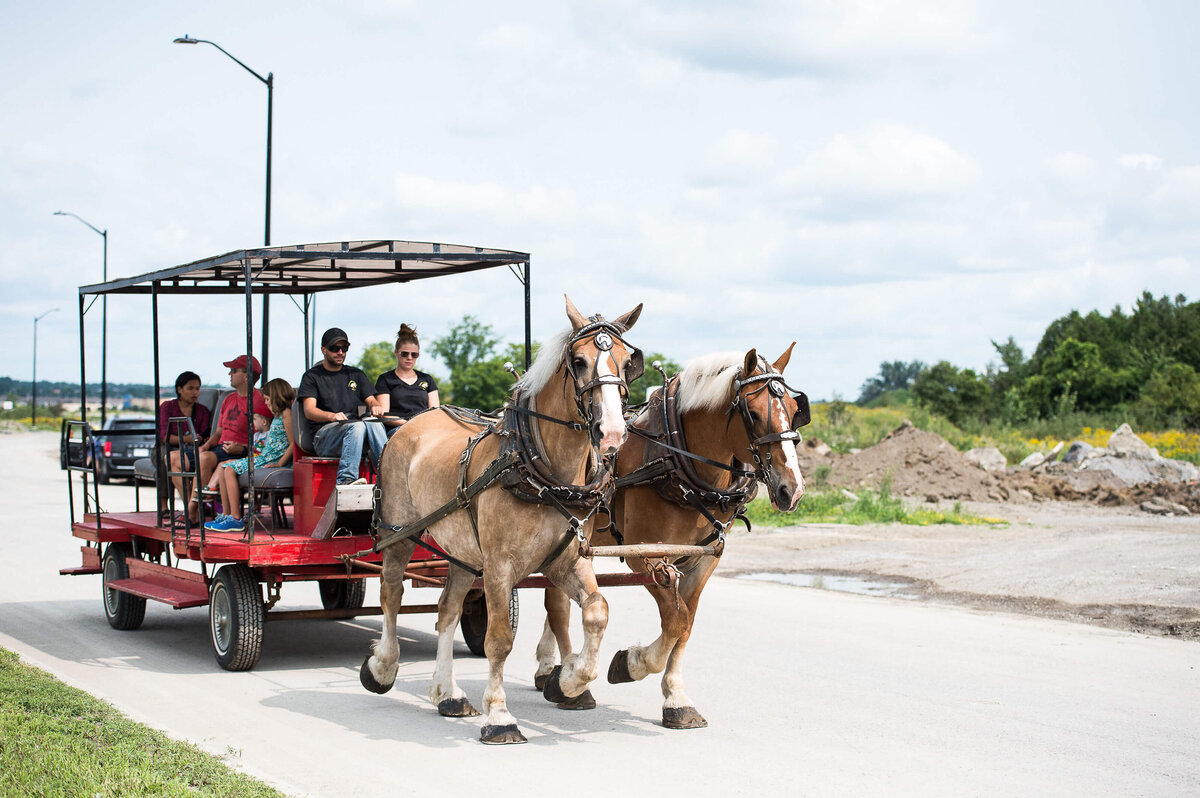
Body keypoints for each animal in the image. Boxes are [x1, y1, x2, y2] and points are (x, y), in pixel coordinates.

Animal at [360, 296, 644, 745]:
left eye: (629, 361)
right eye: (579, 361)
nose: (612, 431)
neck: (541, 471)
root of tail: (410, 425)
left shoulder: (566, 561)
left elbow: (597, 610)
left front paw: (568, 680)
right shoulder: (498, 566)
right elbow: (499, 640)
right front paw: (499, 715)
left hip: (461, 550)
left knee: (447, 610)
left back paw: (448, 693)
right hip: (399, 533)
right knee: (391, 595)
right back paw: (383, 667)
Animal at [534, 345, 808, 729]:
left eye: (797, 413)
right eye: (752, 413)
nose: (791, 490)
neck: (678, 459)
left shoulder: (704, 556)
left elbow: (686, 623)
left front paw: (677, 699)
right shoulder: (646, 557)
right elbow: (674, 621)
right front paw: (631, 664)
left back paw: (549, 669)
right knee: (558, 607)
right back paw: (571, 685)